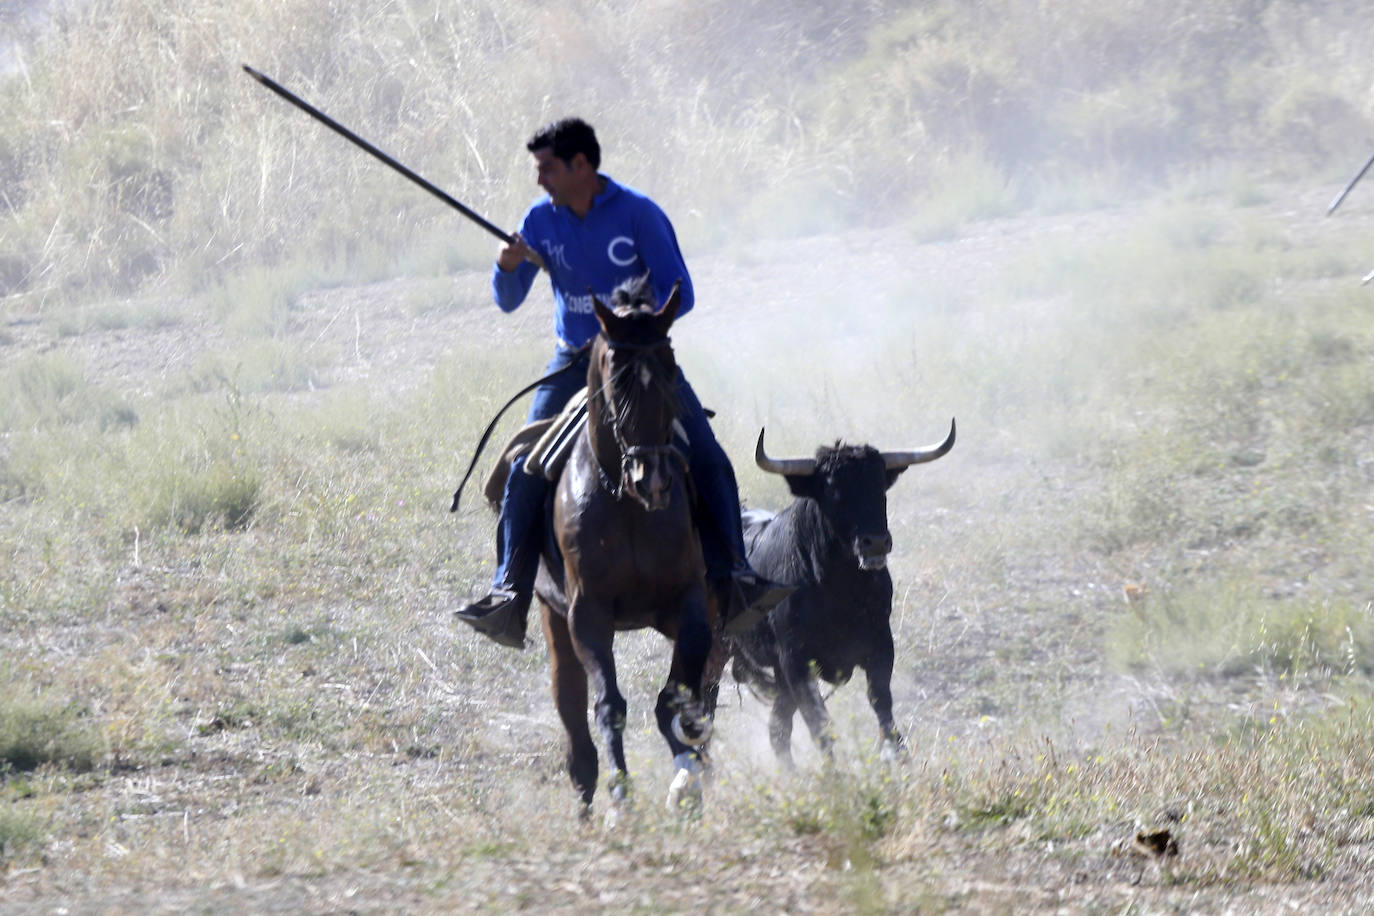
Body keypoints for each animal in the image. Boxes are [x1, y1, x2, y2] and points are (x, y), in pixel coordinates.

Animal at [530, 274, 714, 818]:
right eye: (616, 373)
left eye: (671, 364)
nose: (651, 478)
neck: (628, 508)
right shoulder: (586, 614)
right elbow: (608, 706)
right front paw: (620, 798)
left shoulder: (690, 602)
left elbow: (676, 697)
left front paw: (686, 777)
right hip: (553, 621)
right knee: (571, 709)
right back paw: (588, 796)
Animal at [730, 425, 956, 769]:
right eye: (834, 492)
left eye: (880, 488)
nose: (875, 543)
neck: (838, 591)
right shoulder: (794, 660)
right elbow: (819, 720)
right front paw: (835, 772)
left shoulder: (880, 643)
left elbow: (880, 699)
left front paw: (896, 754)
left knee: (778, 728)